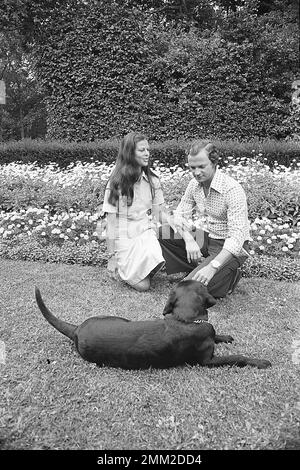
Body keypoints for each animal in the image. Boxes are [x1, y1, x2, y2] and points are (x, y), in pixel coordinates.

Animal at [35, 280, 272, 370]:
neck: (185, 319)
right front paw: (260, 361)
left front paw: (225, 337)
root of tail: (76, 329)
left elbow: (217, 335)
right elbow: (238, 357)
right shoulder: (206, 361)